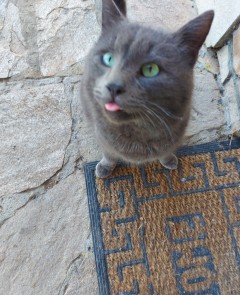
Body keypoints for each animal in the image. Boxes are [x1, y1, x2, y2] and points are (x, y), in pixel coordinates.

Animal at [80, 0, 214, 178]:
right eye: (108, 58)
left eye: (151, 69)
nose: (114, 86)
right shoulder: (102, 137)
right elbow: (109, 154)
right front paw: (104, 167)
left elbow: (166, 151)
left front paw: (169, 160)